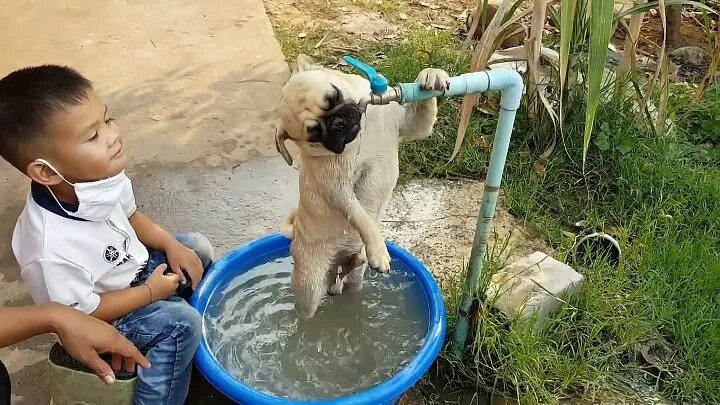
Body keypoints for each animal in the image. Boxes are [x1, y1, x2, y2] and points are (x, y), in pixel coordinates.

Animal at [276, 54, 450, 318]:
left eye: (334, 95)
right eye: (314, 133)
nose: (337, 123)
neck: (361, 136)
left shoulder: (410, 124)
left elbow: (422, 112)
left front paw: (431, 75)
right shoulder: (339, 190)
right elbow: (362, 218)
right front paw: (378, 249)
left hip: (354, 281)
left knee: (345, 283)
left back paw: (354, 264)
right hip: (309, 286)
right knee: (311, 303)